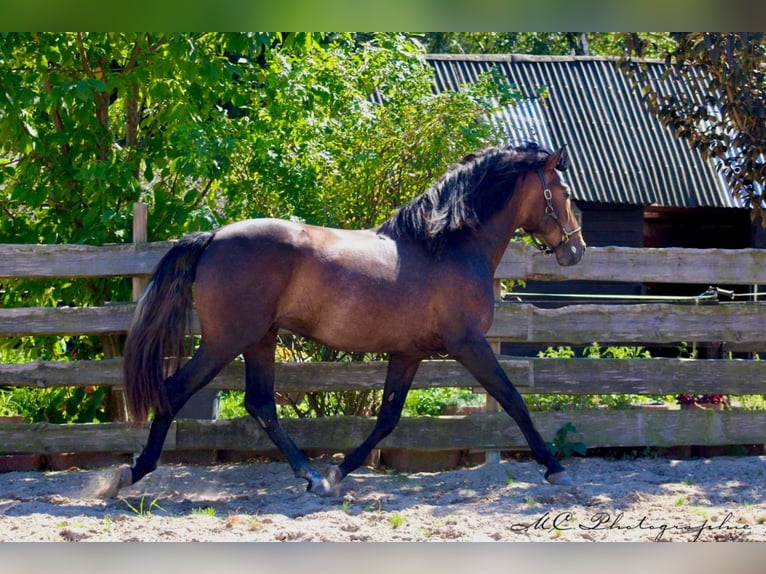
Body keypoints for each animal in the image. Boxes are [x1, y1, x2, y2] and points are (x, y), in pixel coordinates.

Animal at [109, 141, 588, 500]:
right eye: (563, 192)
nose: (576, 249)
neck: (447, 245)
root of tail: (213, 238)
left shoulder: (408, 354)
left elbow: (388, 418)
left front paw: (340, 472)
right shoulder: (469, 344)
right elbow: (513, 400)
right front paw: (555, 468)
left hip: (261, 339)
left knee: (260, 404)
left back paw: (312, 477)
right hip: (225, 341)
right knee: (175, 391)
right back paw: (131, 473)